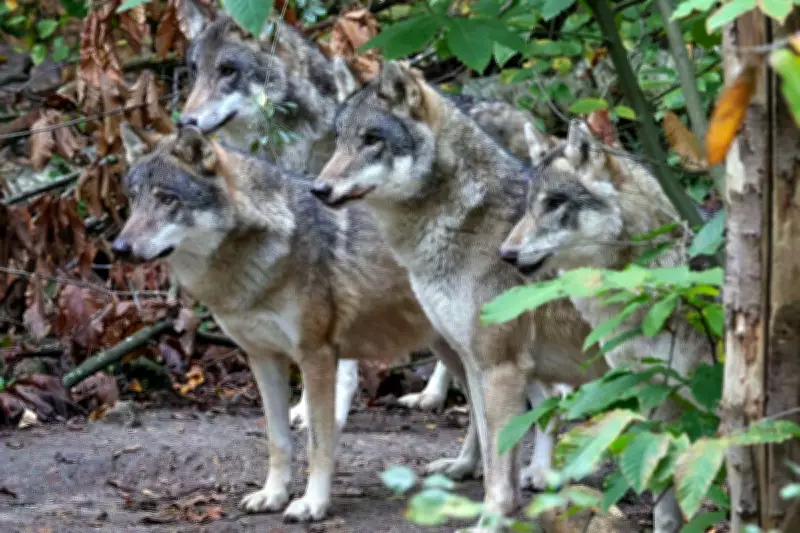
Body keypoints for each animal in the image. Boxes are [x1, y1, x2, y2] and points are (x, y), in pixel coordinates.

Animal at [113, 124, 474, 522]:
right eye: (133, 199)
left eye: (167, 200)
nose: (119, 248)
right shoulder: (263, 358)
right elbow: (278, 440)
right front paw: (273, 495)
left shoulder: (317, 355)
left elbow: (318, 442)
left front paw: (313, 504)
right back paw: (463, 467)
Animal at [310, 59, 610, 520]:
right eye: (340, 139)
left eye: (372, 140)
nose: (319, 189)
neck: (464, 220)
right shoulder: (480, 360)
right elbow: (491, 446)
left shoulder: (500, 364)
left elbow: (500, 454)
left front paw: (495, 514)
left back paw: (543, 475)